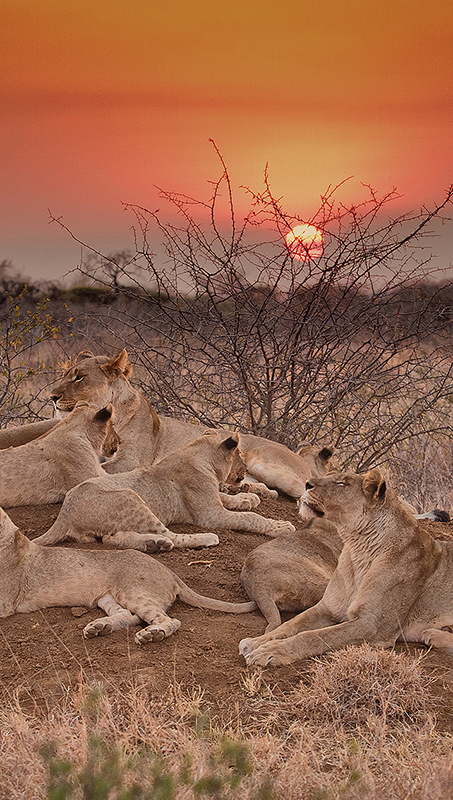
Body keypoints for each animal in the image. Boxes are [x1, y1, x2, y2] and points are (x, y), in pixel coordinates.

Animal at [0, 507, 256, 644]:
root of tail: (170, 572)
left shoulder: (5, 604)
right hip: (107, 597)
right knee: (128, 615)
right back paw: (99, 627)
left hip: (133, 591)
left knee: (169, 620)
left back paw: (152, 635)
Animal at [34, 430, 296, 552]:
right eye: (240, 455)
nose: (246, 469)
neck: (198, 454)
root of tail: (64, 514)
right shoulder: (210, 515)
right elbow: (251, 518)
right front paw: (281, 526)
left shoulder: (212, 499)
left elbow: (227, 497)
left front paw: (248, 497)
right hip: (131, 497)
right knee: (172, 535)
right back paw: (202, 539)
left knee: (112, 538)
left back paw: (153, 544)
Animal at [48, 349, 334, 496]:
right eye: (65, 374)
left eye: (79, 377)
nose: (51, 397)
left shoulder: (131, 459)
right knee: (266, 488)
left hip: (270, 466)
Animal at [239, 468, 453, 666]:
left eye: (341, 483)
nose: (307, 484)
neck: (358, 549)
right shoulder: (327, 608)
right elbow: (289, 626)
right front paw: (255, 642)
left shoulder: (372, 625)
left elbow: (313, 637)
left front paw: (269, 652)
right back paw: (432, 634)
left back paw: (433, 634)